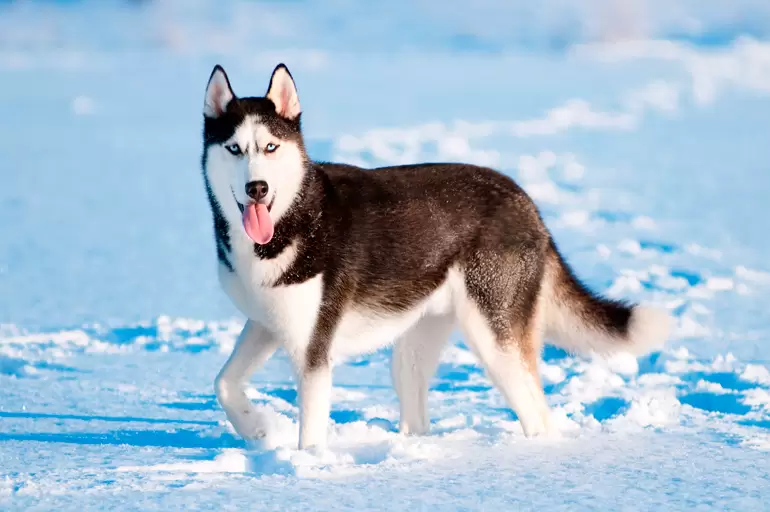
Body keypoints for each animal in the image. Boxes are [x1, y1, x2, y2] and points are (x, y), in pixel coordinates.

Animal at [201, 63, 668, 448]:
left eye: (271, 147)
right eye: (234, 149)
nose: (257, 188)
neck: (293, 217)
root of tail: (525, 201)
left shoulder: (314, 351)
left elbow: (310, 435)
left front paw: (304, 466)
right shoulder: (266, 324)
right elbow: (223, 383)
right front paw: (258, 427)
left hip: (493, 340)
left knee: (537, 415)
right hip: (414, 345)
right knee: (418, 416)